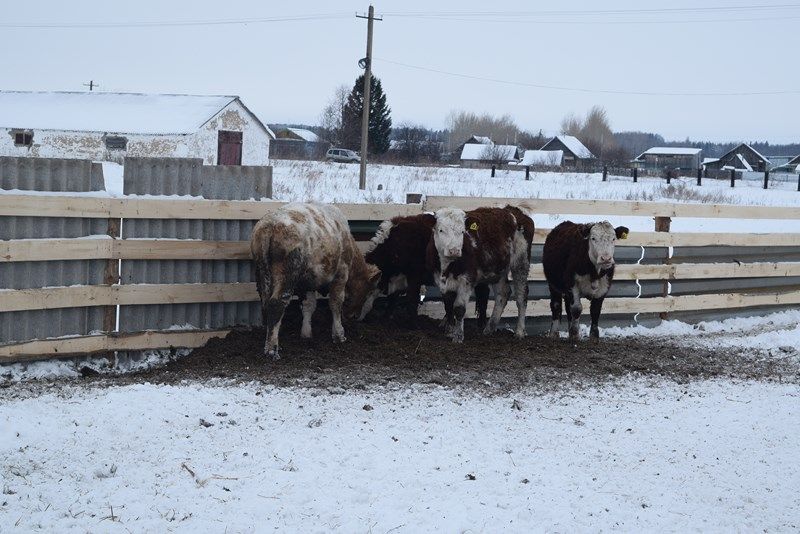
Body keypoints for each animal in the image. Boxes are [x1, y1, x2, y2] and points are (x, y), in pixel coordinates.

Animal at [253, 203, 384, 362]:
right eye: (369, 292)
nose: (354, 316)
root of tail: (271, 224)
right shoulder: (341, 274)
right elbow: (335, 303)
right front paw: (339, 334)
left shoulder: (308, 281)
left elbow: (309, 305)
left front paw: (306, 333)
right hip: (286, 275)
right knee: (276, 304)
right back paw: (272, 349)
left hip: (261, 272)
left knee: (266, 304)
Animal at [424, 205, 536, 344]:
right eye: (441, 230)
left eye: (462, 231)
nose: (454, 250)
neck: (447, 267)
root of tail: (513, 210)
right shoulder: (441, 282)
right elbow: (448, 306)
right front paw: (449, 331)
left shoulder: (467, 280)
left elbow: (459, 309)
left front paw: (458, 336)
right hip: (498, 269)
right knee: (503, 293)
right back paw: (489, 329)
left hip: (521, 263)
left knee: (521, 296)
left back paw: (519, 331)